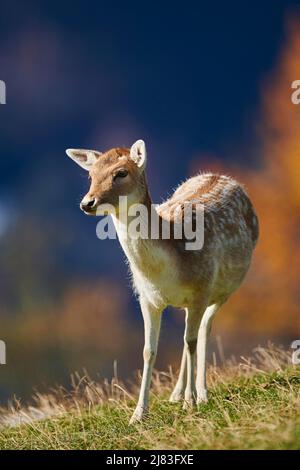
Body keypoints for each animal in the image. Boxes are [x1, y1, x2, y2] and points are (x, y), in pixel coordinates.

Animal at [65, 139, 258, 422]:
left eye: (121, 173)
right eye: (91, 175)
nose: (87, 203)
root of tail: (223, 176)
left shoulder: (201, 288)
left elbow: (191, 342)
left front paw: (190, 403)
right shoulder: (146, 298)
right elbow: (149, 350)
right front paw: (138, 414)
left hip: (227, 289)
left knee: (202, 331)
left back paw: (201, 393)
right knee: (190, 335)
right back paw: (176, 394)